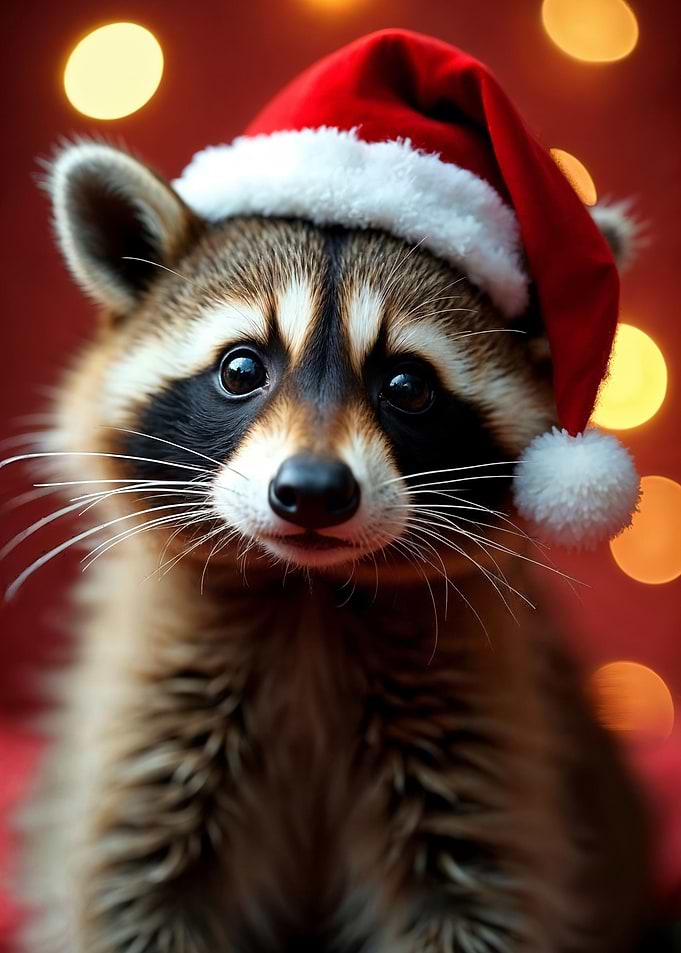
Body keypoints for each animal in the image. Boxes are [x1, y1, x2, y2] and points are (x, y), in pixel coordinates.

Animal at [7, 141, 652, 953]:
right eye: (241, 369)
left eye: (407, 385)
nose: (312, 490)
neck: (307, 594)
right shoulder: (142, 726)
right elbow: (128, 887)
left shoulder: (481, 746)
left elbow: (481, 897)